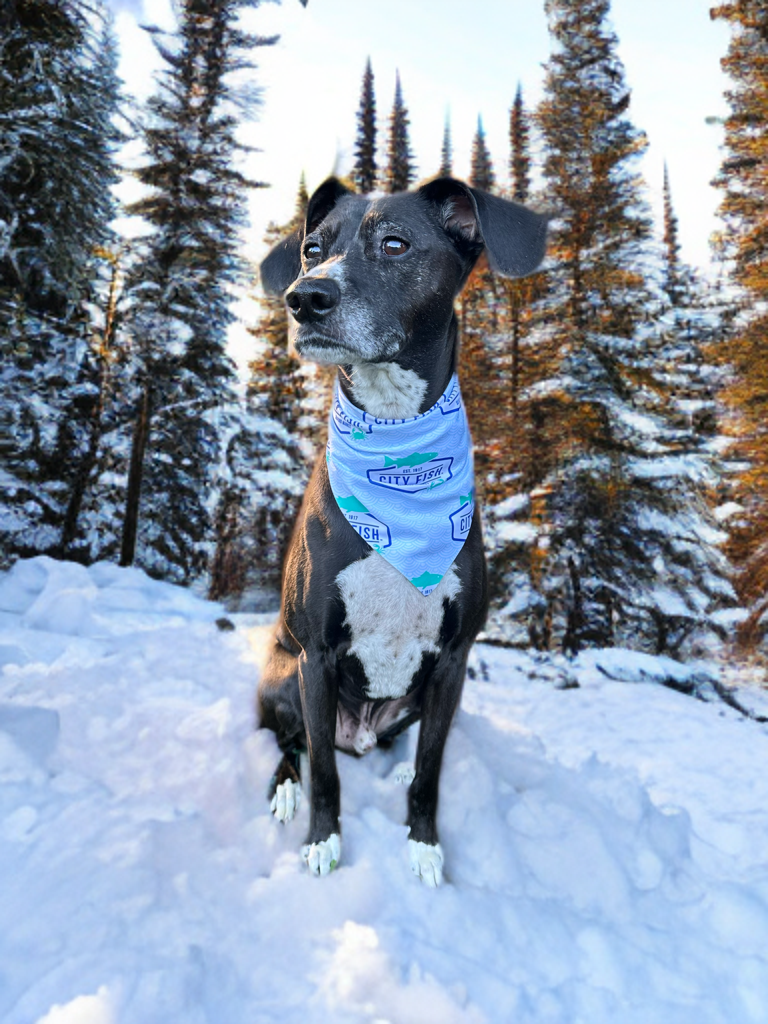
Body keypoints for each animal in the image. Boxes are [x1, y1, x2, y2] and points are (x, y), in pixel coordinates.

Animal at [259, 172, 548, 884]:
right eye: (311, 248)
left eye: (395, 244)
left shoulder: (452, 662)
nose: (304, 298)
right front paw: (323, 841)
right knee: (291, 743)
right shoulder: (315, 658)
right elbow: (326, 774)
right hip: (281, 676)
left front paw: (423, 845)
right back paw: (285, 788)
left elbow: (430, 770)